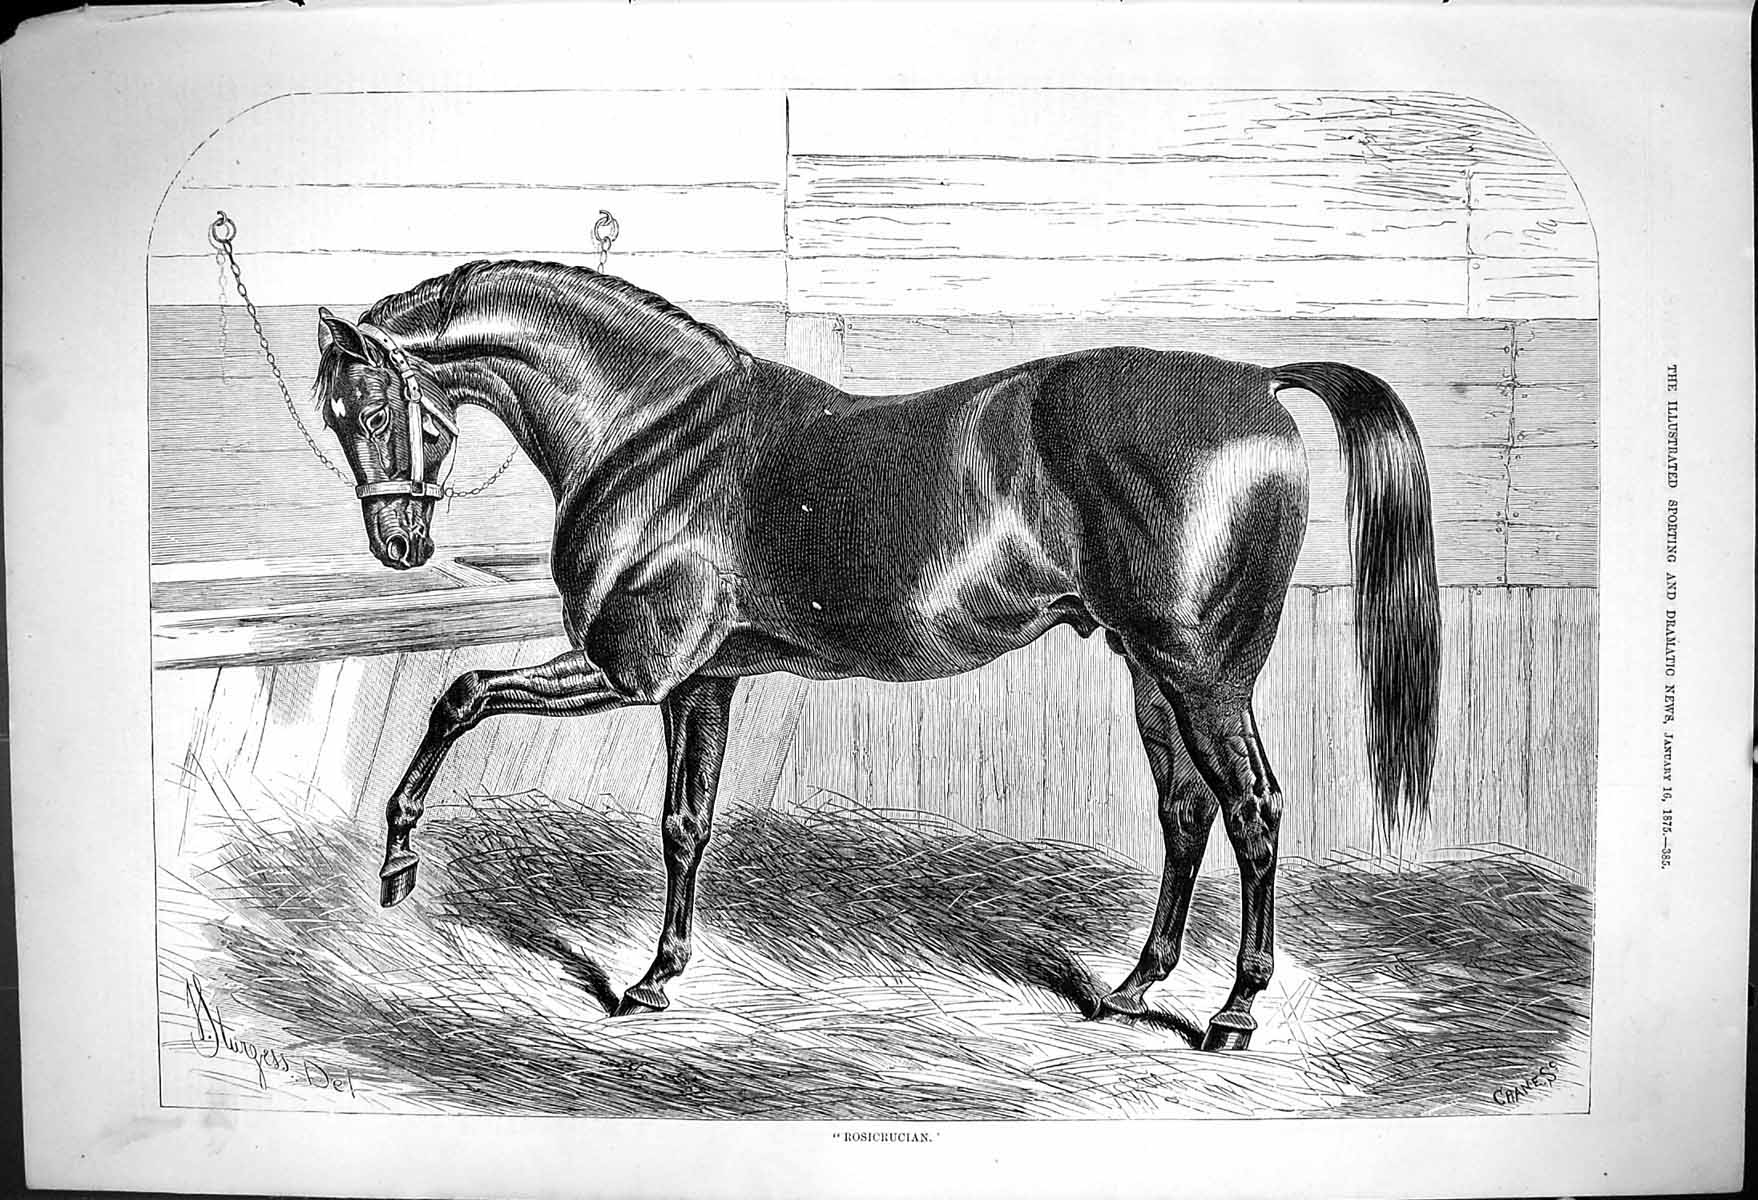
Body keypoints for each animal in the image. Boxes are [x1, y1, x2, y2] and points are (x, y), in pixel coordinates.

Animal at [313, 259, 1440, 1051]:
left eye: (375, 408)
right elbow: (684, 826)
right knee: (1184, 810)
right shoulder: (702, 686)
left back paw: (1234, 1015)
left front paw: (400, 861)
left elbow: (460, 694)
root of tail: (1255, 381)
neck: (655, 433)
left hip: (1204, 673)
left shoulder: (631, 672)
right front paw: (657, 977)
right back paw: (1131, 989)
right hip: (1150, 671)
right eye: (335, 417)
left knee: (1252, 812)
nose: (397, 545)